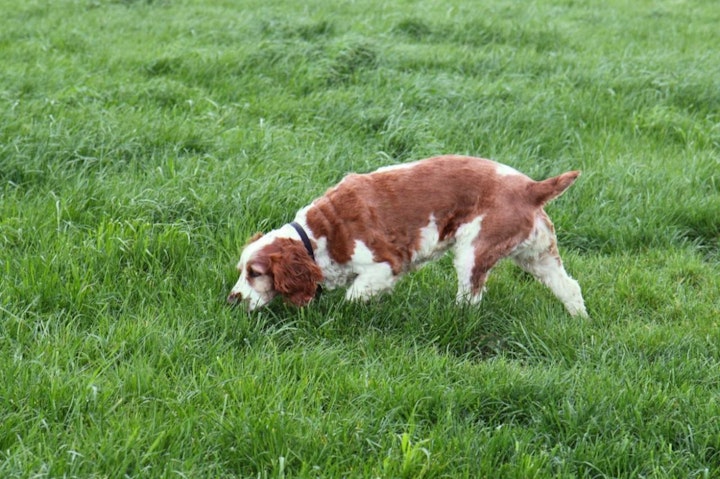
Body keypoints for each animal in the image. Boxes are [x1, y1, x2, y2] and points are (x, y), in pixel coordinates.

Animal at [228, 155, 588, 318]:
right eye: (242, 272)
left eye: (255, 273)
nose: (232, 300)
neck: (319, 236)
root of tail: (530, 188)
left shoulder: (385, 264)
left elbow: (354, 294)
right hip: (538, 255)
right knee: (569, 286)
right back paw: (579, 321)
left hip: (474, 252)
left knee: (470, 298)